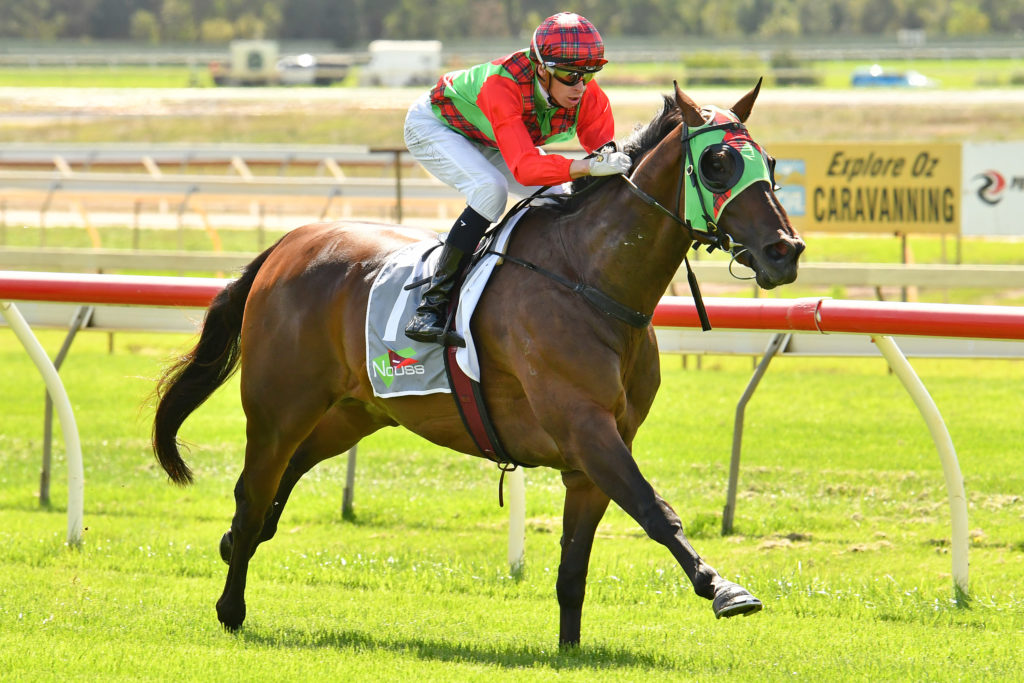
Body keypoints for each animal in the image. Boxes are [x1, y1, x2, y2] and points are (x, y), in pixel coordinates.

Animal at [152, 81, 804, 647]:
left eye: (770, 163)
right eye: (718, 162)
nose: (786, 251)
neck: (589, 279)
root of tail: (287, 244)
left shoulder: (595, 451)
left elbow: (575, 565)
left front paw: (570, 648)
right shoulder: (585, 427)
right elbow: (654, 509)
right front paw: (724, 589)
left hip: (353, 412)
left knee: (280, 484)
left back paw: (234, 543)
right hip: (279, 408)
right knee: (254, 490)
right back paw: (230, 606)